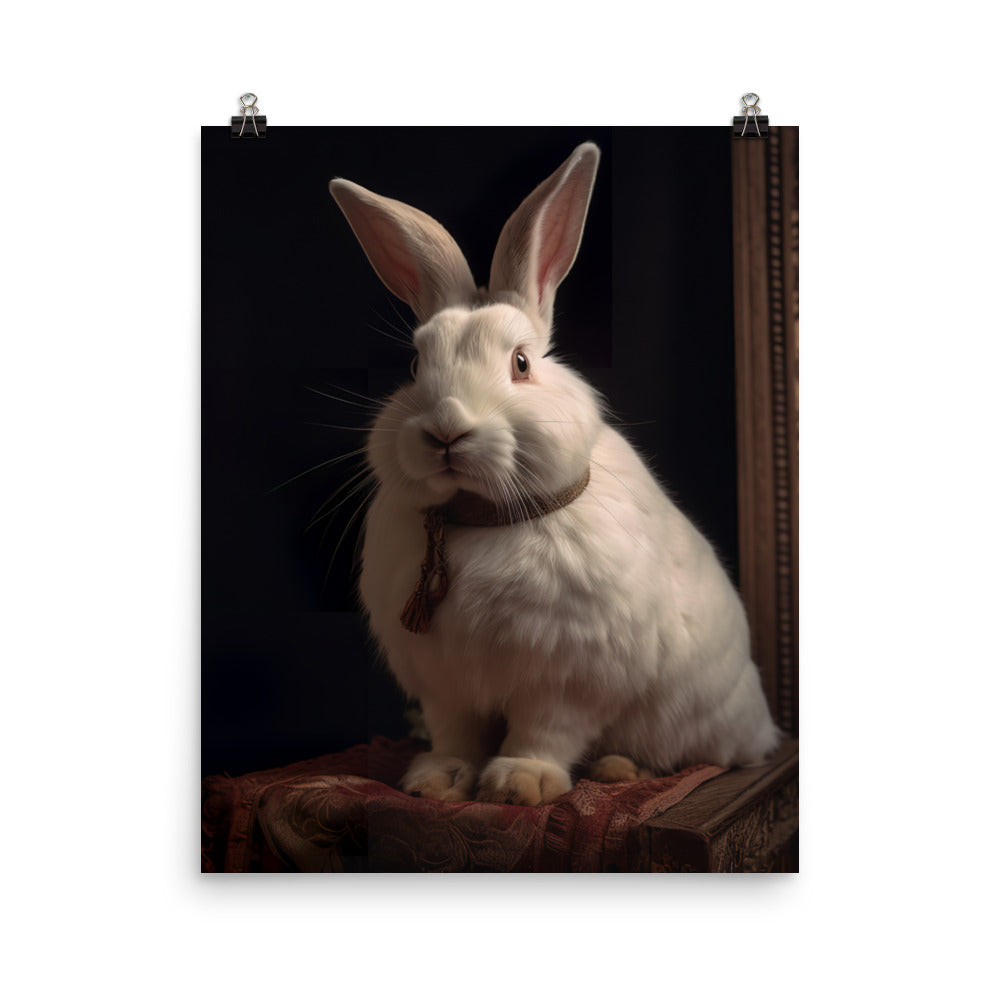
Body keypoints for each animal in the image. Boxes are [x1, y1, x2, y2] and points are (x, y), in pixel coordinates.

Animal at [328, 142, 780, 806]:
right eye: (413, 366)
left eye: (520, 364)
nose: (446, 430)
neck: (480, 519)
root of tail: (761, 727)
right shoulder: (446, 685)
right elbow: (455, 733)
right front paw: (438, 781)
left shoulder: (569, 677)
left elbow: (546, 730)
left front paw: (521, 784)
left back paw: (619, 769)